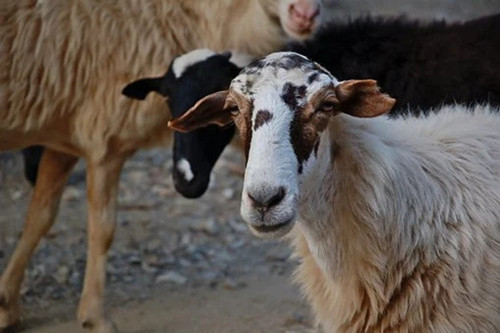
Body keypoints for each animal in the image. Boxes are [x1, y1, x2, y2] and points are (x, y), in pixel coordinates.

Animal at [0, 1, 322, 330]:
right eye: (168, 99)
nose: (305, 13)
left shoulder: (63, 144)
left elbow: (39, 218)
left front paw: (7, 304)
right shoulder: (102, 142)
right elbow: (101, 229)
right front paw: (95, 317)